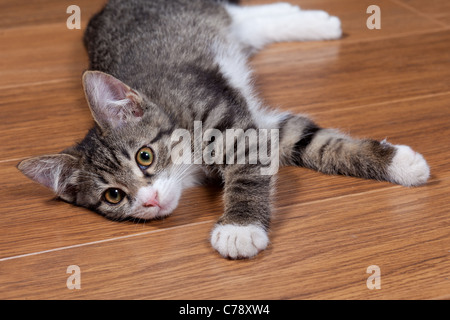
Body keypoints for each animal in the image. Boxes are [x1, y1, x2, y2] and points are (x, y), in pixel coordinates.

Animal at [17, 0, 430, 258]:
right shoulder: (265, 127)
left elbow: (251, 172)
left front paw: (240, 228)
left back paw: (315, 21)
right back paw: (301, 15)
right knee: (247, 22)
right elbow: (314, 143)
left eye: (144, 156)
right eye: (113, 196)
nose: (150, 200)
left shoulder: (236, 127)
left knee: (236, 13)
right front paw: (399, 163)